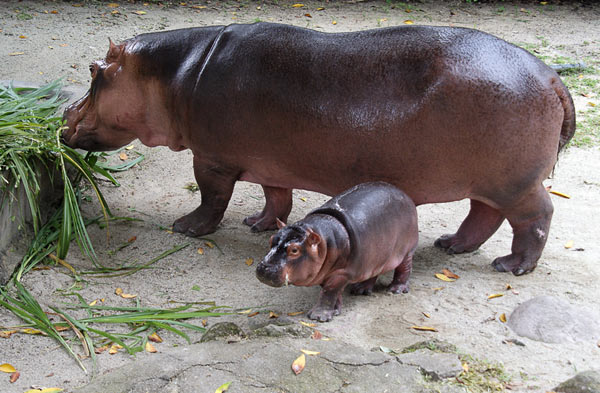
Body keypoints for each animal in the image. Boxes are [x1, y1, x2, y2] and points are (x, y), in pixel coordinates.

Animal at [62, 21, 576, 272]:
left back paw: (511, 267)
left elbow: (212, 199)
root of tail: (552, 76)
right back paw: (450, 246)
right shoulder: (266, 161)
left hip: (517, 183)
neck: (175, 71)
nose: (61, 118)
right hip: (490, 181)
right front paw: (257, 224)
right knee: (483, 214)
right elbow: (275, 196)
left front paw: (185, 229)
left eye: (93, 70)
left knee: (536, 217)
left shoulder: (211, 159)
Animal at [254, 182, 418, 320]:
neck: (322, 241)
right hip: (375, 255)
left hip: (407, 250)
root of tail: (405, 195)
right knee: (373, 271)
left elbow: (329, 291)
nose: (263, 268)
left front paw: (318, 316)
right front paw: (335, 310)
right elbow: (332, 292)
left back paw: (396, 289)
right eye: (271, 239)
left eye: (294, 250)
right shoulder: (323, 272)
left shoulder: (341, 272)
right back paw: (360, 290)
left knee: (404, 268)